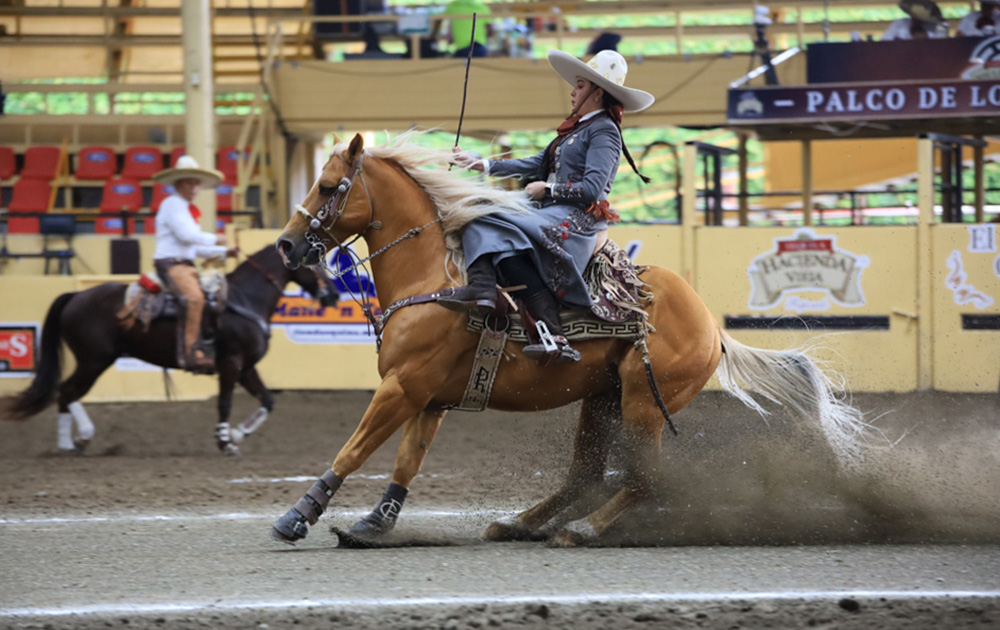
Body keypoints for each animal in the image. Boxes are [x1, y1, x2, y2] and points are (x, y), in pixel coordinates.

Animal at [1, 244, 340, 456]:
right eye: (315, 261)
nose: (333, 296)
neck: (246, 298)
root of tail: (76, 295)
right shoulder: (230, 363)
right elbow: (225, 403)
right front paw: (226, 442)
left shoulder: (246, 367)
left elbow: (267, 400)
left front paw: (237, 435)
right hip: (93, 361)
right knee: (68, 391)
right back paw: (81, 435)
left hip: (92, 361)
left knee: (64, 394)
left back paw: (69, 445)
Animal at [272, 133, 868, 548]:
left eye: (328, 186)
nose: (285, 245)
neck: (437, 275)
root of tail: (710, 325)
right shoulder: (427, 399)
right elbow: (404, 465)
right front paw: (374, 524)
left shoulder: (402, 388)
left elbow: (353, 451)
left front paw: (297, 517)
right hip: (602, 398)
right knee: (585, 472)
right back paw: (519, 522)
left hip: (643, 402)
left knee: (645, 478)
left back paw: (580, 530)